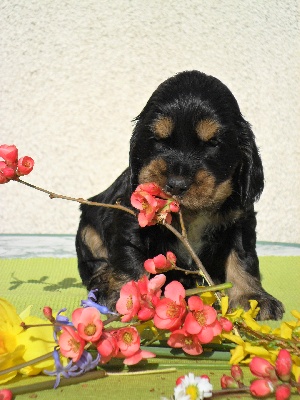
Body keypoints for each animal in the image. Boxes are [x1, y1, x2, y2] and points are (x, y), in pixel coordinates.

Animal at [76, 70, 284, 320]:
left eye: (213, 143)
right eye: (157, 139)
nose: (176, 184)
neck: (191, 214)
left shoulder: (240, 219)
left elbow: (242, 258)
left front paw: (253, 297)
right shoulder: (132, 217)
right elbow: (131, 256)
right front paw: (130, 296)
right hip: (88, 228)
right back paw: (104, 279)